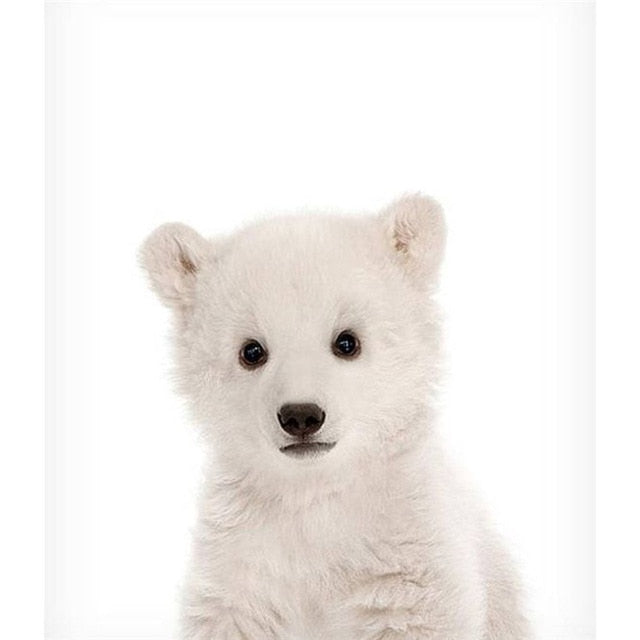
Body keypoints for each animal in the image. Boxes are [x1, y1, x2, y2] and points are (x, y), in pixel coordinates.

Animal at [140, 194, 531, 640]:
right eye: (251, 351)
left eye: (347, 342)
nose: (301, 416)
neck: (315, 492)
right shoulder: (241, 561)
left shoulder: (408, 550)